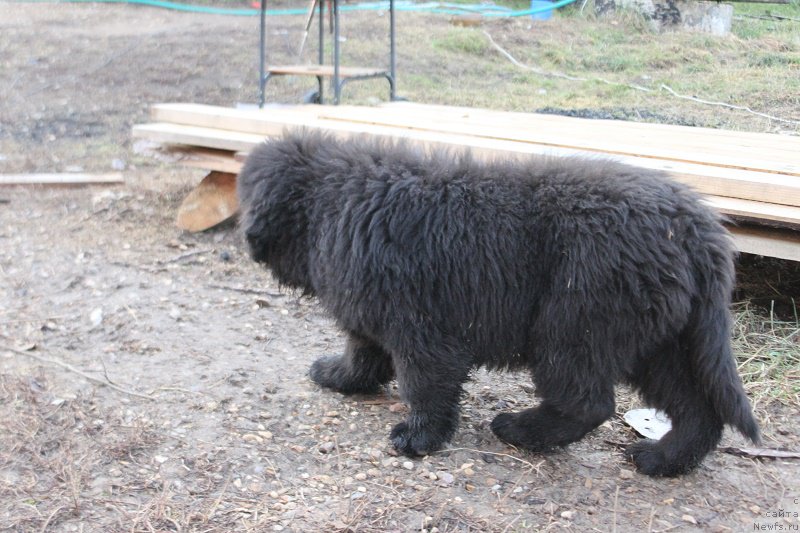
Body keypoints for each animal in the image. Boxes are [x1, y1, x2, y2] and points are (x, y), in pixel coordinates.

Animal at [236, 131, 756, 476]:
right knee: (698, 409)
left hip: (574, 323)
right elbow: (362, 352)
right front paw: (337, 375)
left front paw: (418, 438)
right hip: (662, 339)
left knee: (587, 401)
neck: (327, 202)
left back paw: (519, 431)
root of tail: (695, 224)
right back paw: (662, 459)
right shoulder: (374, 316)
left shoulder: (421, 329)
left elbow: (424, 385)